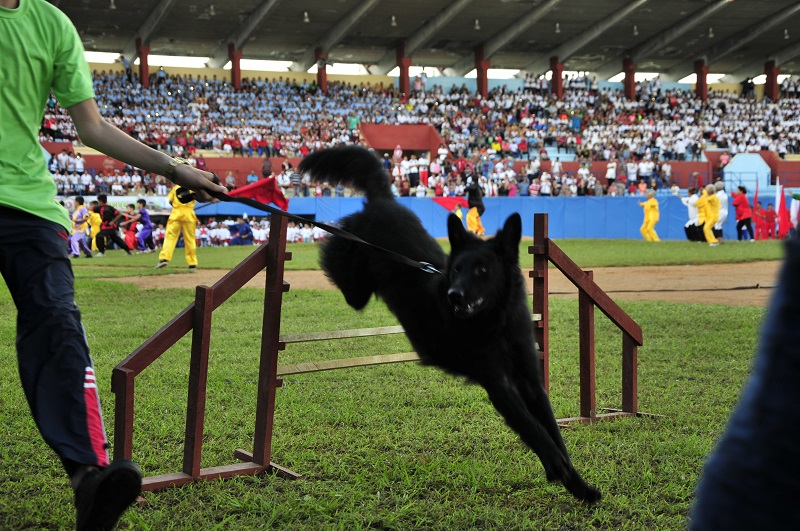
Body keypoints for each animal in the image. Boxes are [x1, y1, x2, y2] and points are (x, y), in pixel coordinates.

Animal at [300, 145, 600, 502]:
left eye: (483, 270)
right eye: (456, 269)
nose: (454, 296)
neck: (495, 323)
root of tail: (382, 200)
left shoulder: (529, 380)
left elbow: (552, 430)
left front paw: (579, 485)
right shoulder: (498, 385)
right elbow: (536, 431)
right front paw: (558, 467)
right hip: (355, 285)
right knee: (335, 250)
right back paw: (322, 228)